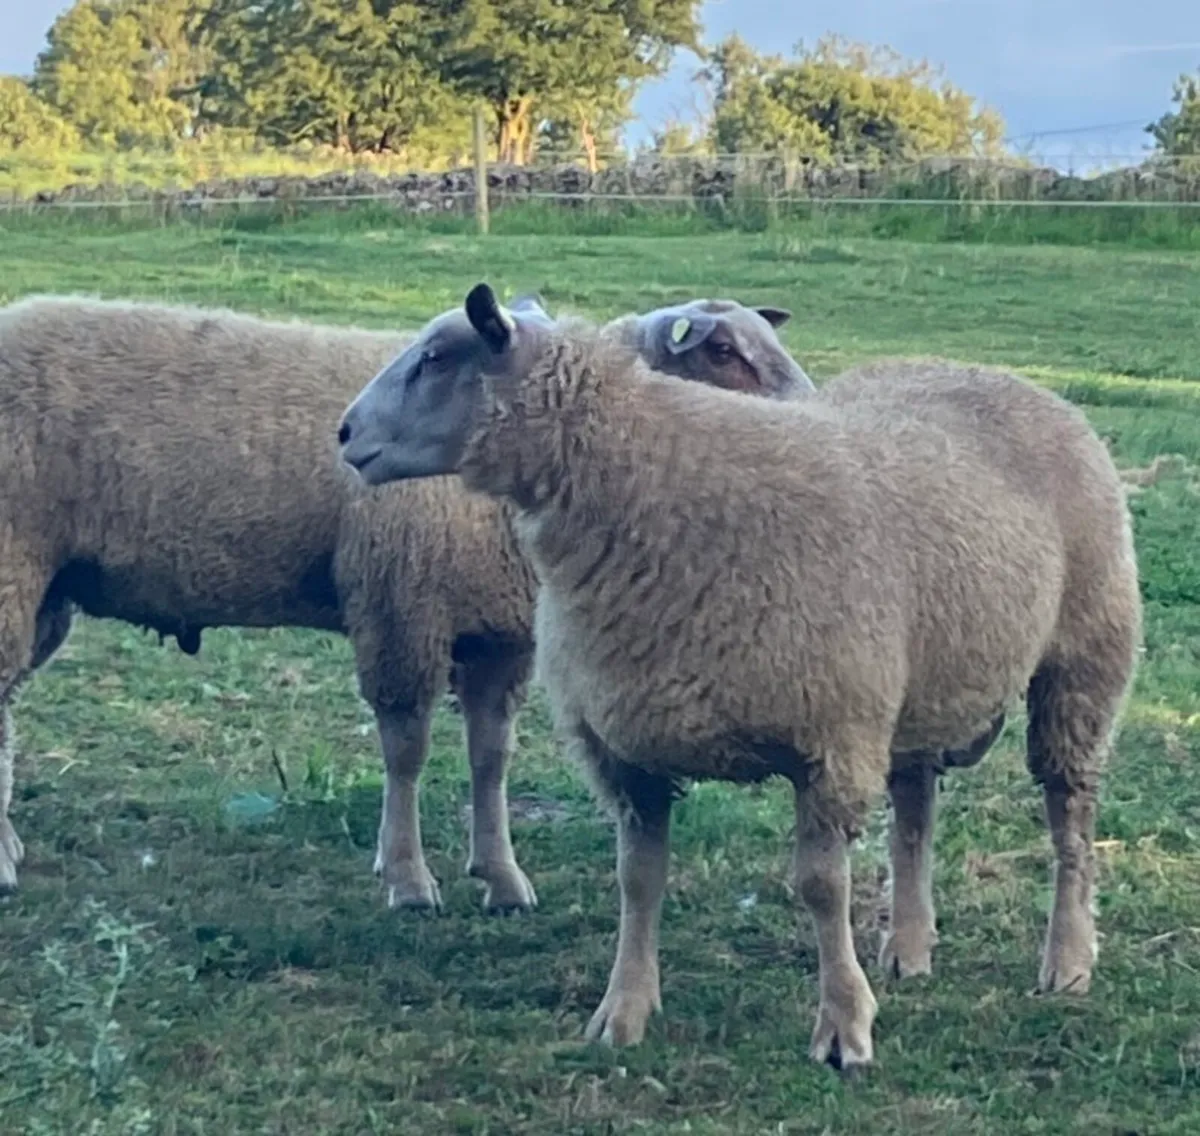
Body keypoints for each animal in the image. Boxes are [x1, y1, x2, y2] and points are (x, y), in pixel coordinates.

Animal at [0, 291, 809, 906]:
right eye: (724, 352)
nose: (815, 415)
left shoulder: (499, 634)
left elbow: (490, 757)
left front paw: (501, 876)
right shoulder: (402, 607)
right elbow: (408, 753)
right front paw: (408, 879)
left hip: (47, 591)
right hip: (14, 566)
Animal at [336, 284, 1142, 1069]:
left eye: (435, 357)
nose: (343, 433)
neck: (649, 477)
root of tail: (992, 372)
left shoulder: (832, 737)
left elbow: (821, 887)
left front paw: (843, 1027)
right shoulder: (627, 746)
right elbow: (638, 880)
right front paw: (624, 1011)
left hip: (1084, 655)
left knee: (1069, 810)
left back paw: (1067, 959)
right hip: (922, 681)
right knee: (916, 808)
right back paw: (909, 945)